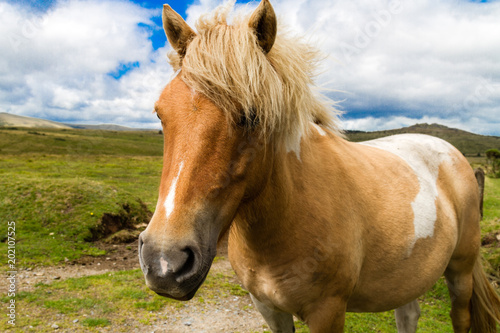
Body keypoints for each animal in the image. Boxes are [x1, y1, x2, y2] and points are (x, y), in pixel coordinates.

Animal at [138, 1, 500, 330]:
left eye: (252, 116)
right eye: (161, 114)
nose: (165, 262)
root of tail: (451, 153)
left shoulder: (327, 311)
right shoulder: (269, 309)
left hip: (460, 270)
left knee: (461, 316)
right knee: (408, 315)